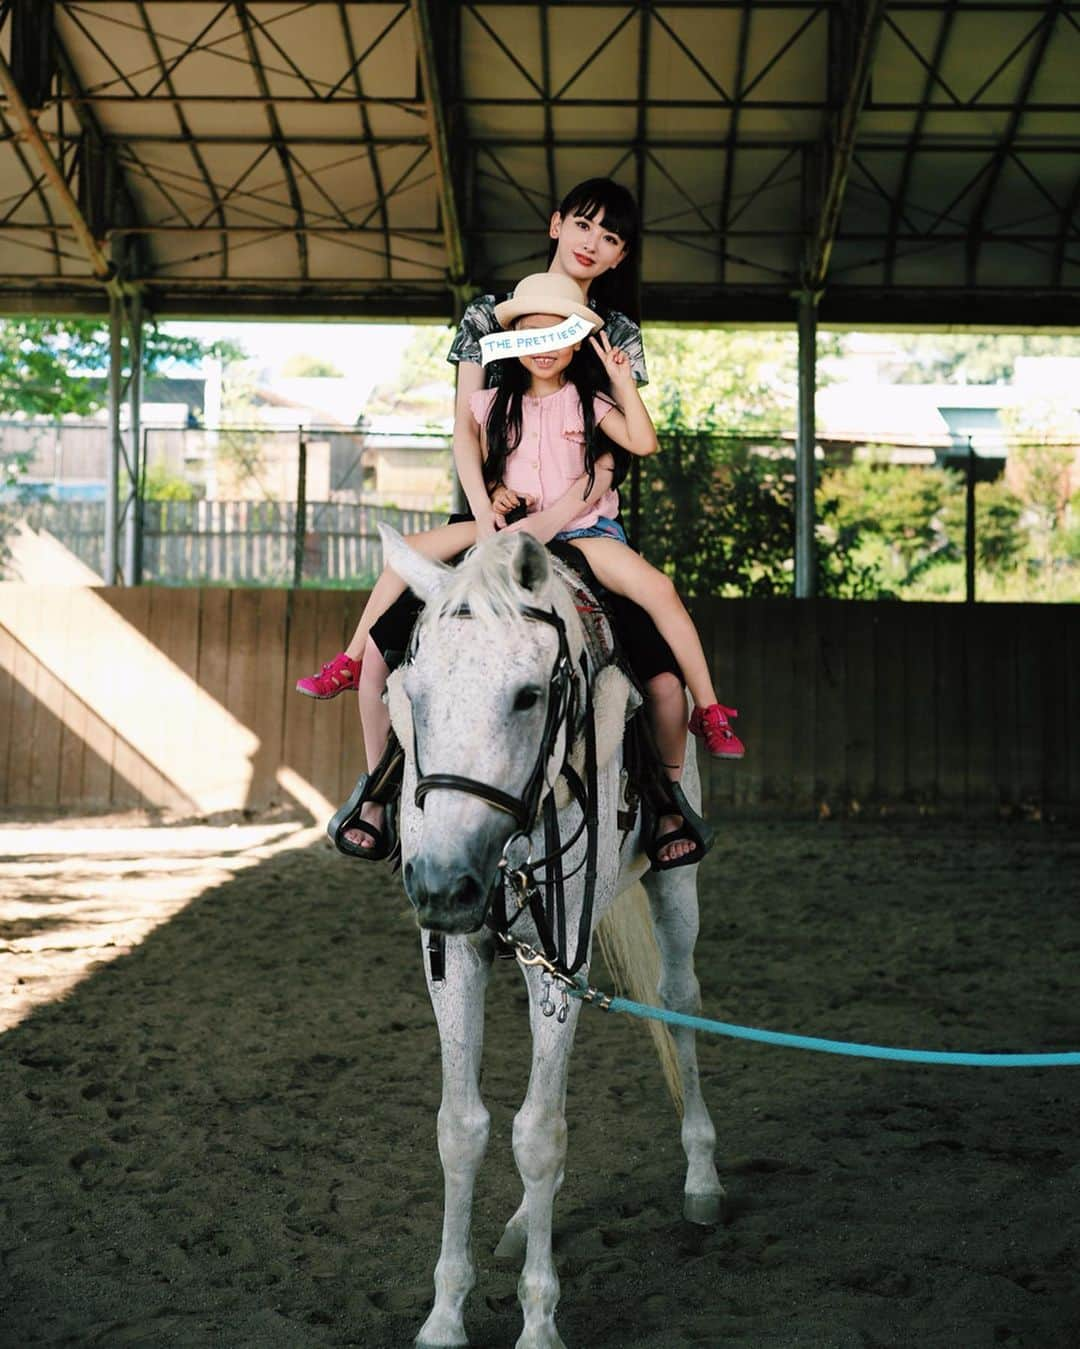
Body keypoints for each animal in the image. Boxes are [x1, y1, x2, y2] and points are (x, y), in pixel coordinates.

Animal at [380, 523, 722, 1349]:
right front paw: (444, 1317)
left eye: (526, 694)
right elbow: (461, 1127)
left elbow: (538, 1134)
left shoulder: (559, 957)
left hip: (675, 886)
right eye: (415, 693)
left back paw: (702, 1177)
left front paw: (539, 1320)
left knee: (679, 1002)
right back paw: (517, 1222)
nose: (442, 884)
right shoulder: (455, 955)